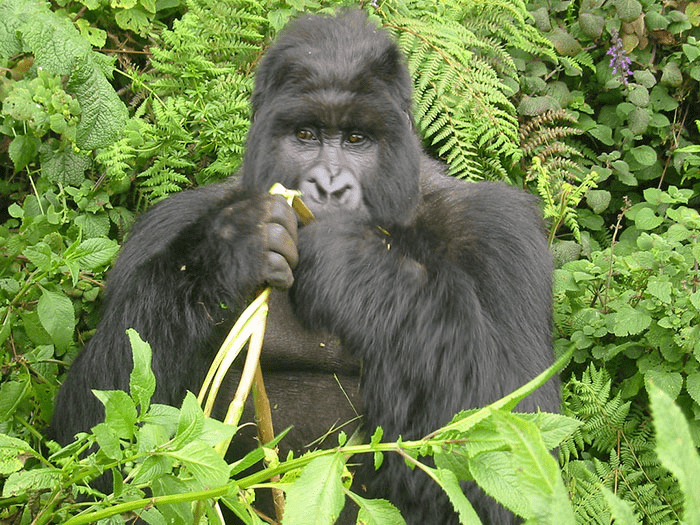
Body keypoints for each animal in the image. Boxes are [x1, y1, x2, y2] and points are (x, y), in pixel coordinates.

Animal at [50, 9, 556, 524]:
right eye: (306, 135)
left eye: (356, 139)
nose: (329, 187)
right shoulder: (160, 225)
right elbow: (96, 441)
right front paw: (229, 249)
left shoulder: (499, 230)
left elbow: (513, 442)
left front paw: (352, 263)